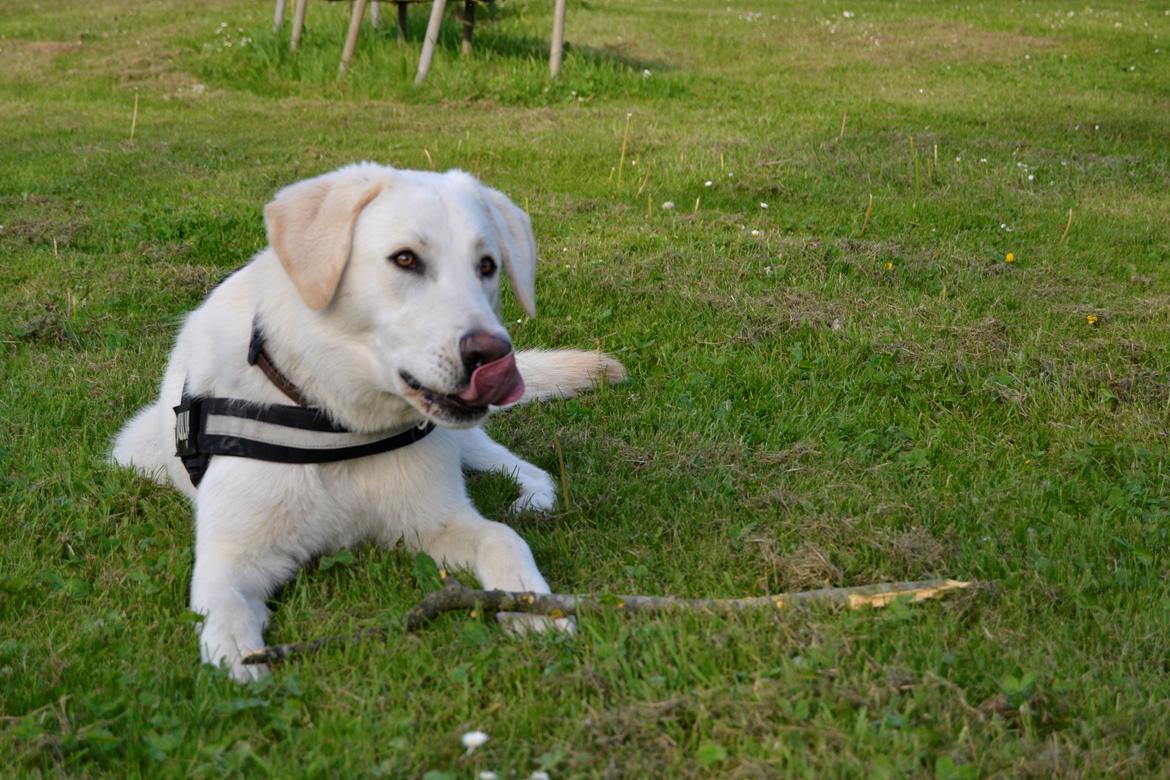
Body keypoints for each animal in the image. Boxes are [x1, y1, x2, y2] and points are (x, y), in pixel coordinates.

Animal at [111, 161, 622, 678]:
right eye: (405, 260)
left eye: (487, 266)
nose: (494, 355)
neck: (335, 422)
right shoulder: (230, 556)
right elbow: (226, 611)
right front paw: (240, 662)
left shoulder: (435, 521)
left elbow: (503, 537)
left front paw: (532, 603)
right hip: (133, 451)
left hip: (464, 441)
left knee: (521, 468)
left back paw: (533, 500)